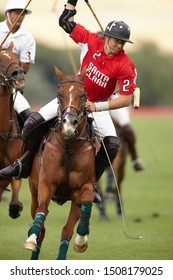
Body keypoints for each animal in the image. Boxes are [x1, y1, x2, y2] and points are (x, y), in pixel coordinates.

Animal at [23, 66, 95, 260]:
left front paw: (81, 240)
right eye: (59, 94)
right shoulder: (45, 184)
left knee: (66, 230)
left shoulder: (81, 189)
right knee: (41, 226)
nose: (69, 123)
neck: (69, 146)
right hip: (33, 190)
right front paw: (30, 239)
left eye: (83, 95)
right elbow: (41, 213)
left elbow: (72, 224)